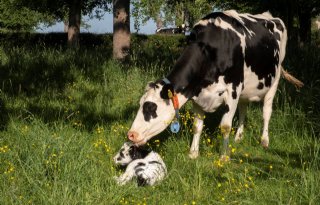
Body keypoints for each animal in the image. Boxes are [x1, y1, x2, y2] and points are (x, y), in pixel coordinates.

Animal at [126, 9, 302, 160]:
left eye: (151, 108)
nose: (131, 134)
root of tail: (271, 16)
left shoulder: (232, 90)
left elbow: (225, 126)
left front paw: (223, 157)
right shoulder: (197, 93)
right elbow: (197, 126)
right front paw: (193, 153)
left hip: (274, 79)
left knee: (266, 111)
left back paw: (264, 140)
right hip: (245, 89)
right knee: (243, 109)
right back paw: (238, 137)